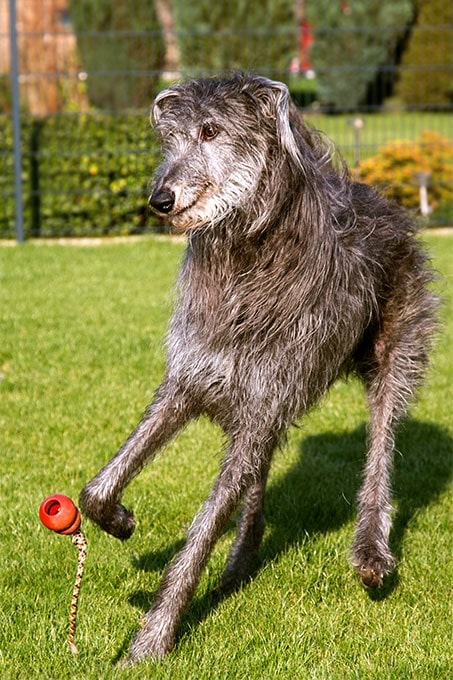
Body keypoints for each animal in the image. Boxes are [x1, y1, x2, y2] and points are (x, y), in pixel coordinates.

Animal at [78, 74, 438, 664]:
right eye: (170, 138)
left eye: (211, 130)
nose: (159, 199)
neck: (246, 254)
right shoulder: (190, 381)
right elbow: (97, 489)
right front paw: (122, 521)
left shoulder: (260, 401)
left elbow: (202, 530)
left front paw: (150, 643)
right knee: (262, 470)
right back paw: (243, 559)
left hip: (395, 350)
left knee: (381, 444)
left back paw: (371, 550)